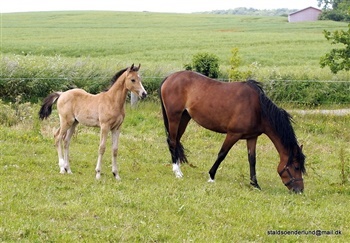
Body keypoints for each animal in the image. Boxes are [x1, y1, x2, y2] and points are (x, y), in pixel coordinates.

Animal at [160, 70, 304, 192]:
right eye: (296, 167)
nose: (300, 190)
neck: (257, 108)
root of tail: (169, 77)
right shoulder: (233, 134)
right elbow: (222, 154)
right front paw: (211, 176)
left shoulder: (252, 137)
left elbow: (252, 160)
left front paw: (255, 184)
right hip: (174, 117)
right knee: (172, 141)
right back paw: (177, 172)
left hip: (184, 117)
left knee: (176, 140)